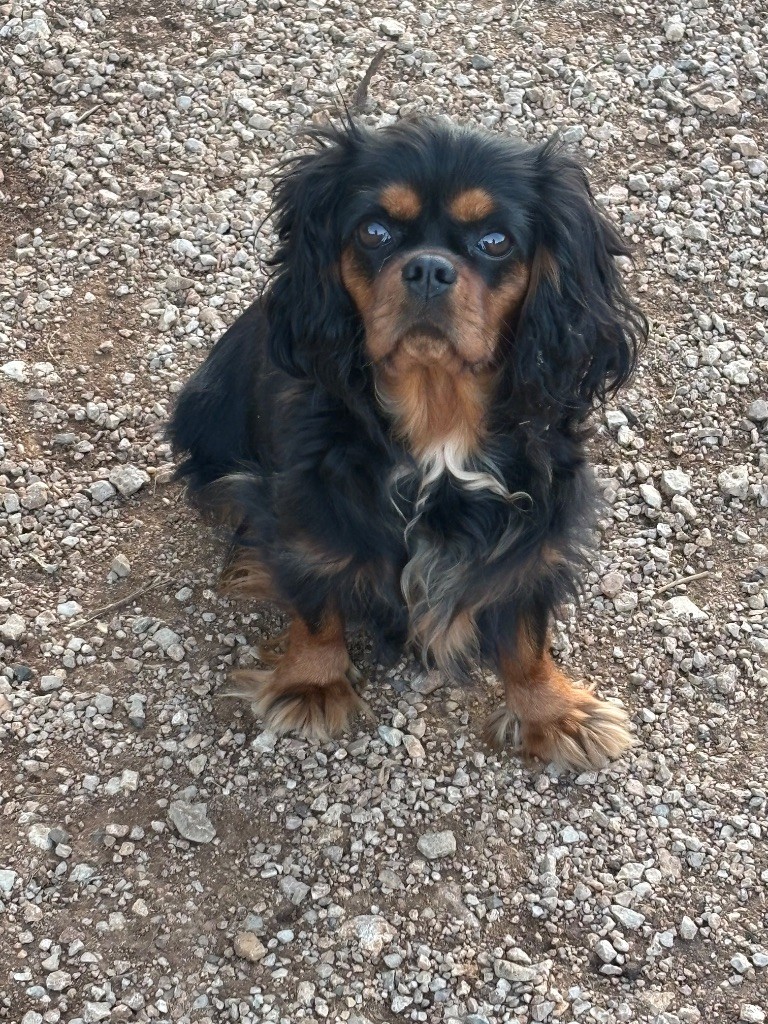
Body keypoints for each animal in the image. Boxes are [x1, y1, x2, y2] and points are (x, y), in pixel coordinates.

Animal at [167, 116, 651, 770]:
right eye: (374, 232)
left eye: (495, 241)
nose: (427, 268)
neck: (438, 424)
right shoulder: (303, 510)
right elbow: (315, 597)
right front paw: (313, 683)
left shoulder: (539, 524)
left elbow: (526, 629)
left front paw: (555, 712)